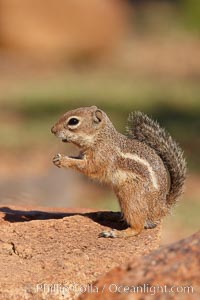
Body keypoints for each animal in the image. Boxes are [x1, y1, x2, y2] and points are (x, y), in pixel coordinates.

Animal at [51, 106, 186, 238]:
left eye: (73, 121)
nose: (52, 130)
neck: (101, 138)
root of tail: (161, 208)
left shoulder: (101, 157)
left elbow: (89, 167)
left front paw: (63, 160)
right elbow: (77, 159)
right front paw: (58, 158)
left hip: (131, 196)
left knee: (138, 226)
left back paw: (116, 233)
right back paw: (110, 215)